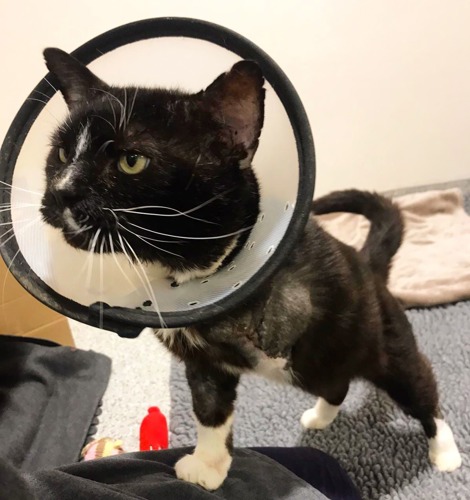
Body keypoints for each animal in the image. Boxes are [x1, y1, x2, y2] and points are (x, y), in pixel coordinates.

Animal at [41, 48, 462, 490]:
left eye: (131, 160)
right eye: (62, 154)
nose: (62, 191)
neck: (194, 269)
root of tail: (369, 267)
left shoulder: (303, 268)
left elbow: (294, 290)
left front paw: (274, 319)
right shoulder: (203, 363)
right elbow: (209, 409)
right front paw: (208, 465)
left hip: (383, 343)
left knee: (420, 390)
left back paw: (445, 452)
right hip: (326, 363)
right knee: (338, 384)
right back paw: (320, 416)